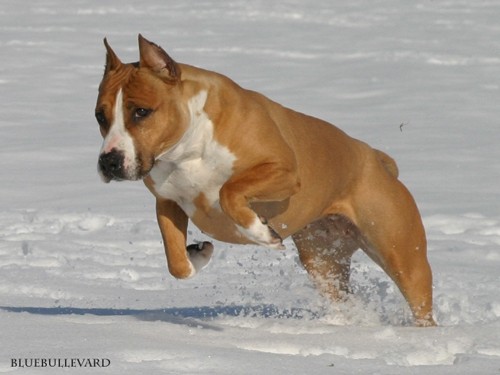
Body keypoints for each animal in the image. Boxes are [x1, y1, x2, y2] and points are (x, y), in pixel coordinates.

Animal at [95, 35, 436, 328]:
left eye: (142, 112)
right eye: (100, 116)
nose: (109, 161)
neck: (187, 147)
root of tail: (376, 159)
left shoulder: (283, 171)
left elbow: (229, 190)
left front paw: (260, 232)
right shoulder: (167, 200)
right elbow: (176, 262)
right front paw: (198, 254)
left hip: (402, 255)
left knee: (420, 302)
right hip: (323, 261)